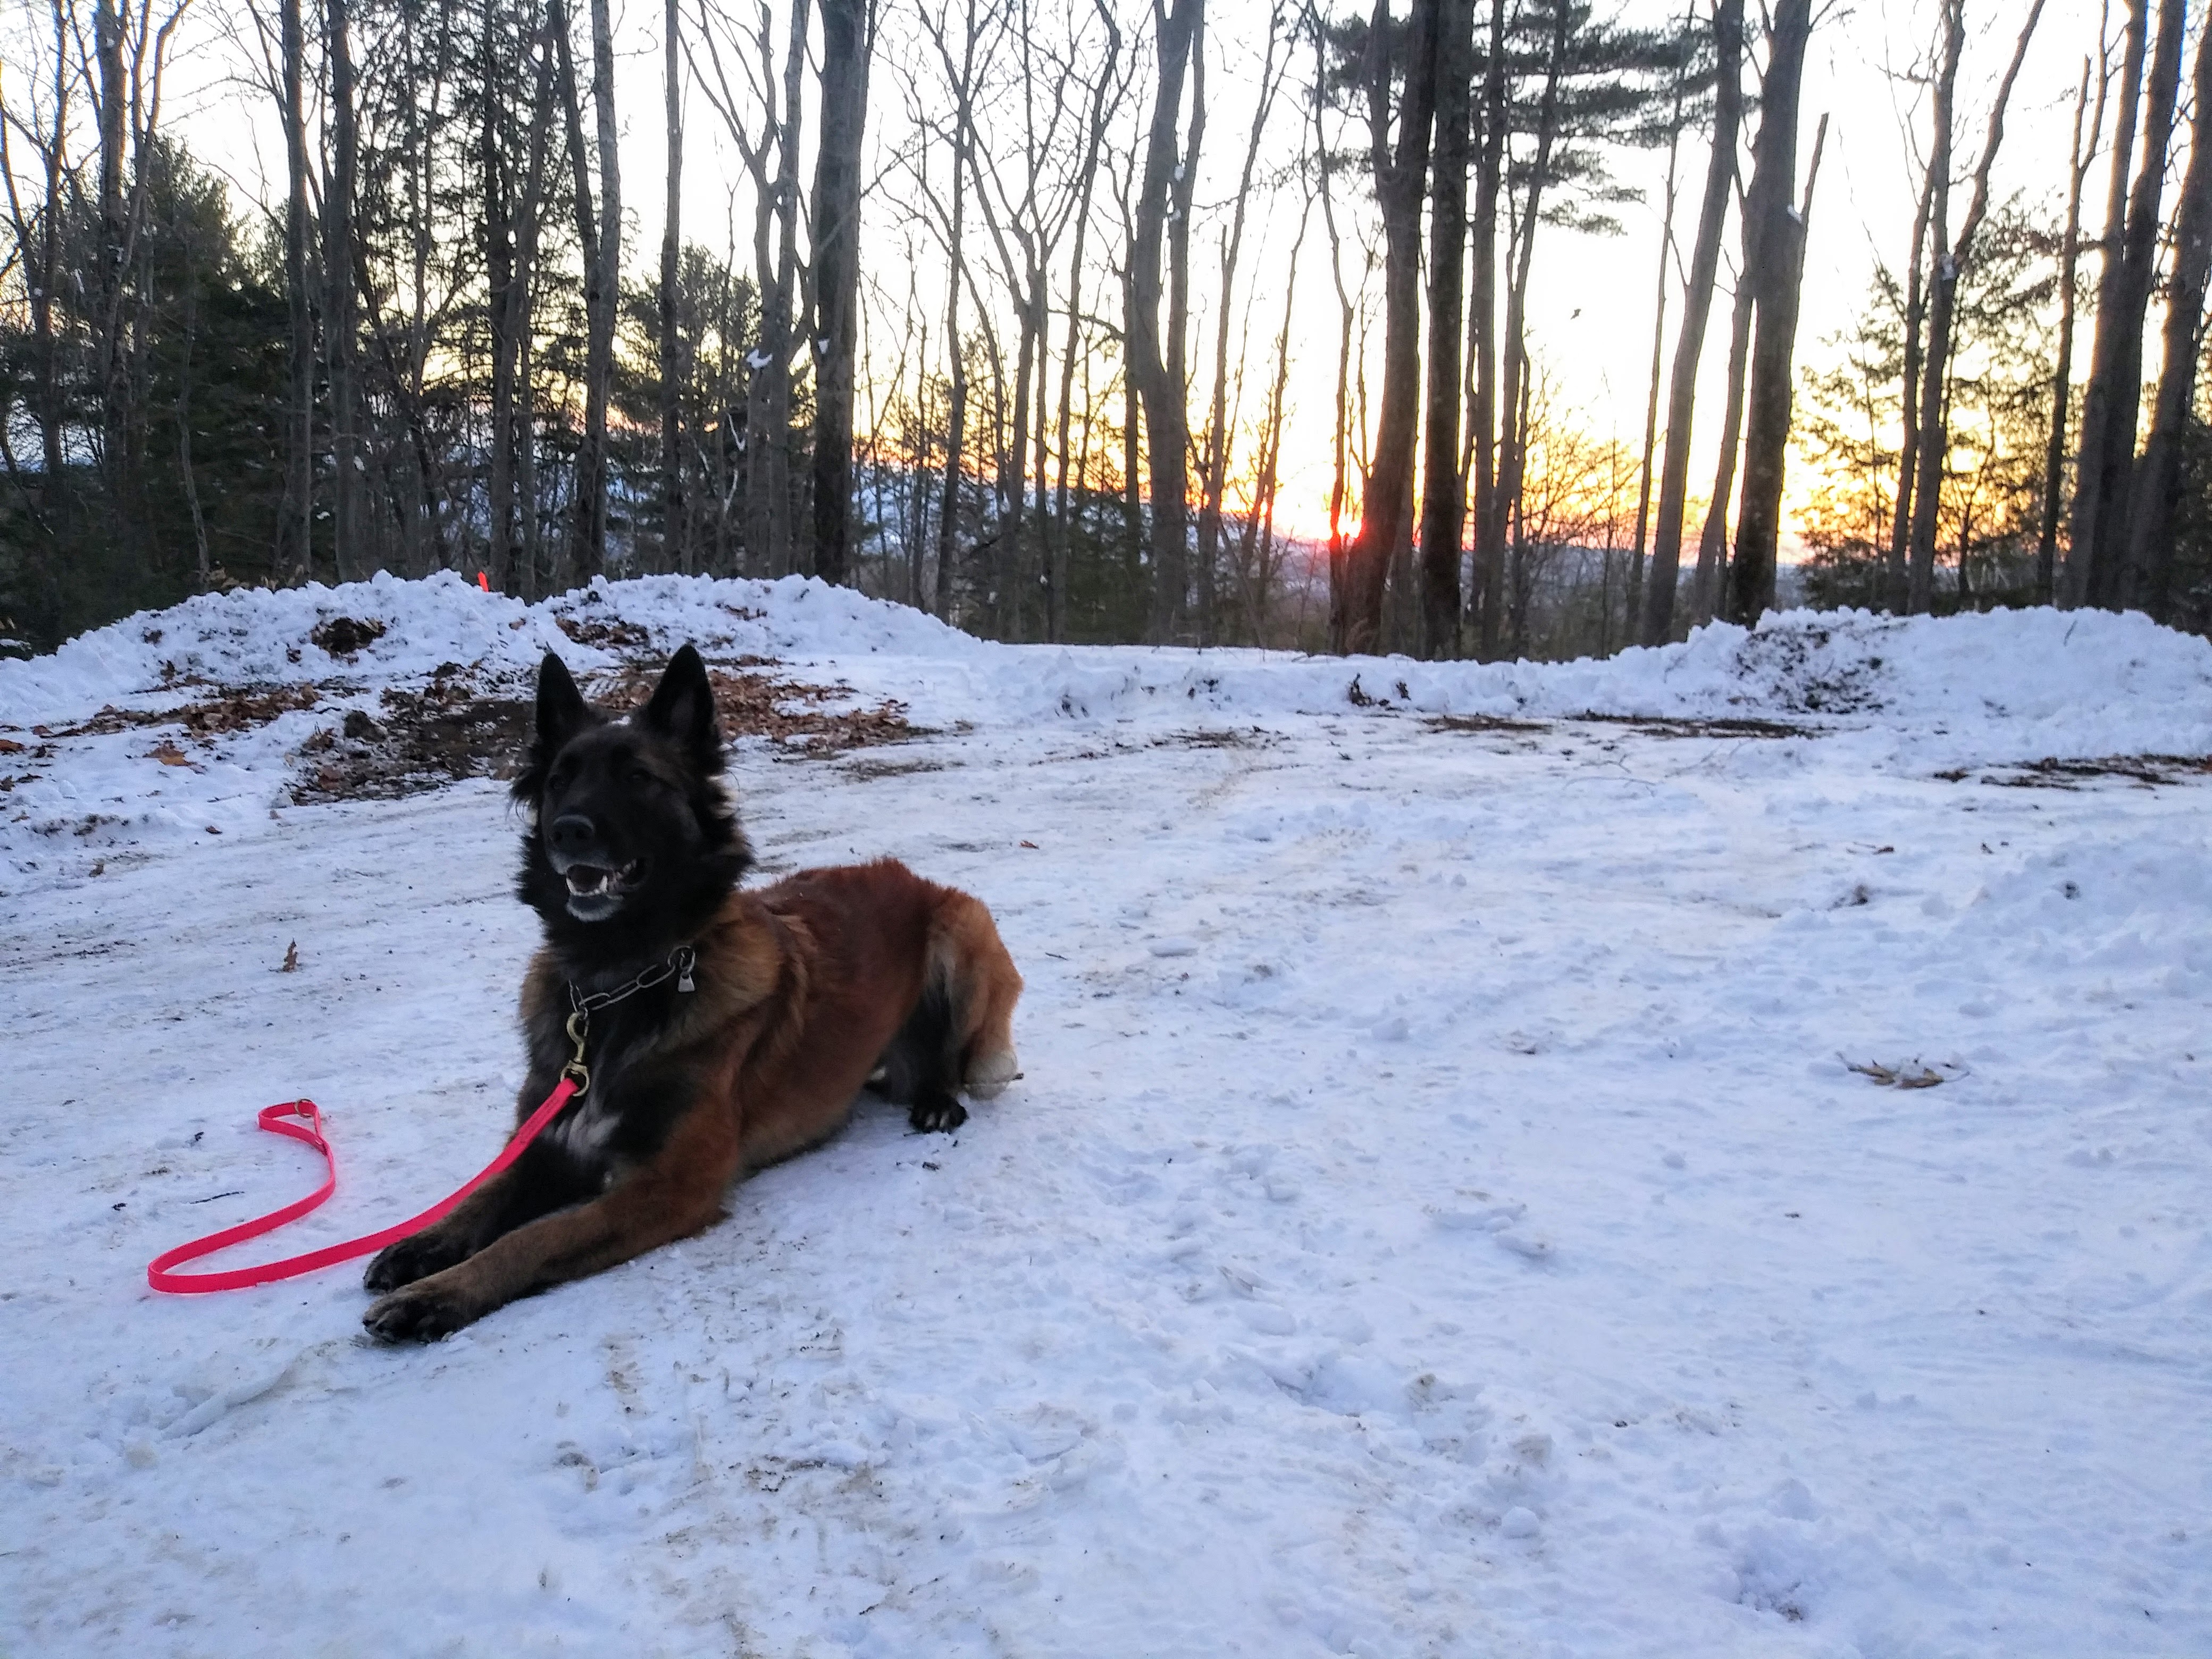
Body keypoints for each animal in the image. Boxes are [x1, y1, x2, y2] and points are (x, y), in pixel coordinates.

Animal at [360, 644, 1022, 1341]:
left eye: (637, 778)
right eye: (560, 780)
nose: (567, 831)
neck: (618, 984)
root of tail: (909, 876)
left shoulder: (668, 1186)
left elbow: (532, 1239)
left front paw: (437, 1295)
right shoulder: (548, 1144)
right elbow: (483, 1196)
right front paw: (423, 1246)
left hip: (964, 925)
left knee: (949, 1057)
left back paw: (937, 1102)